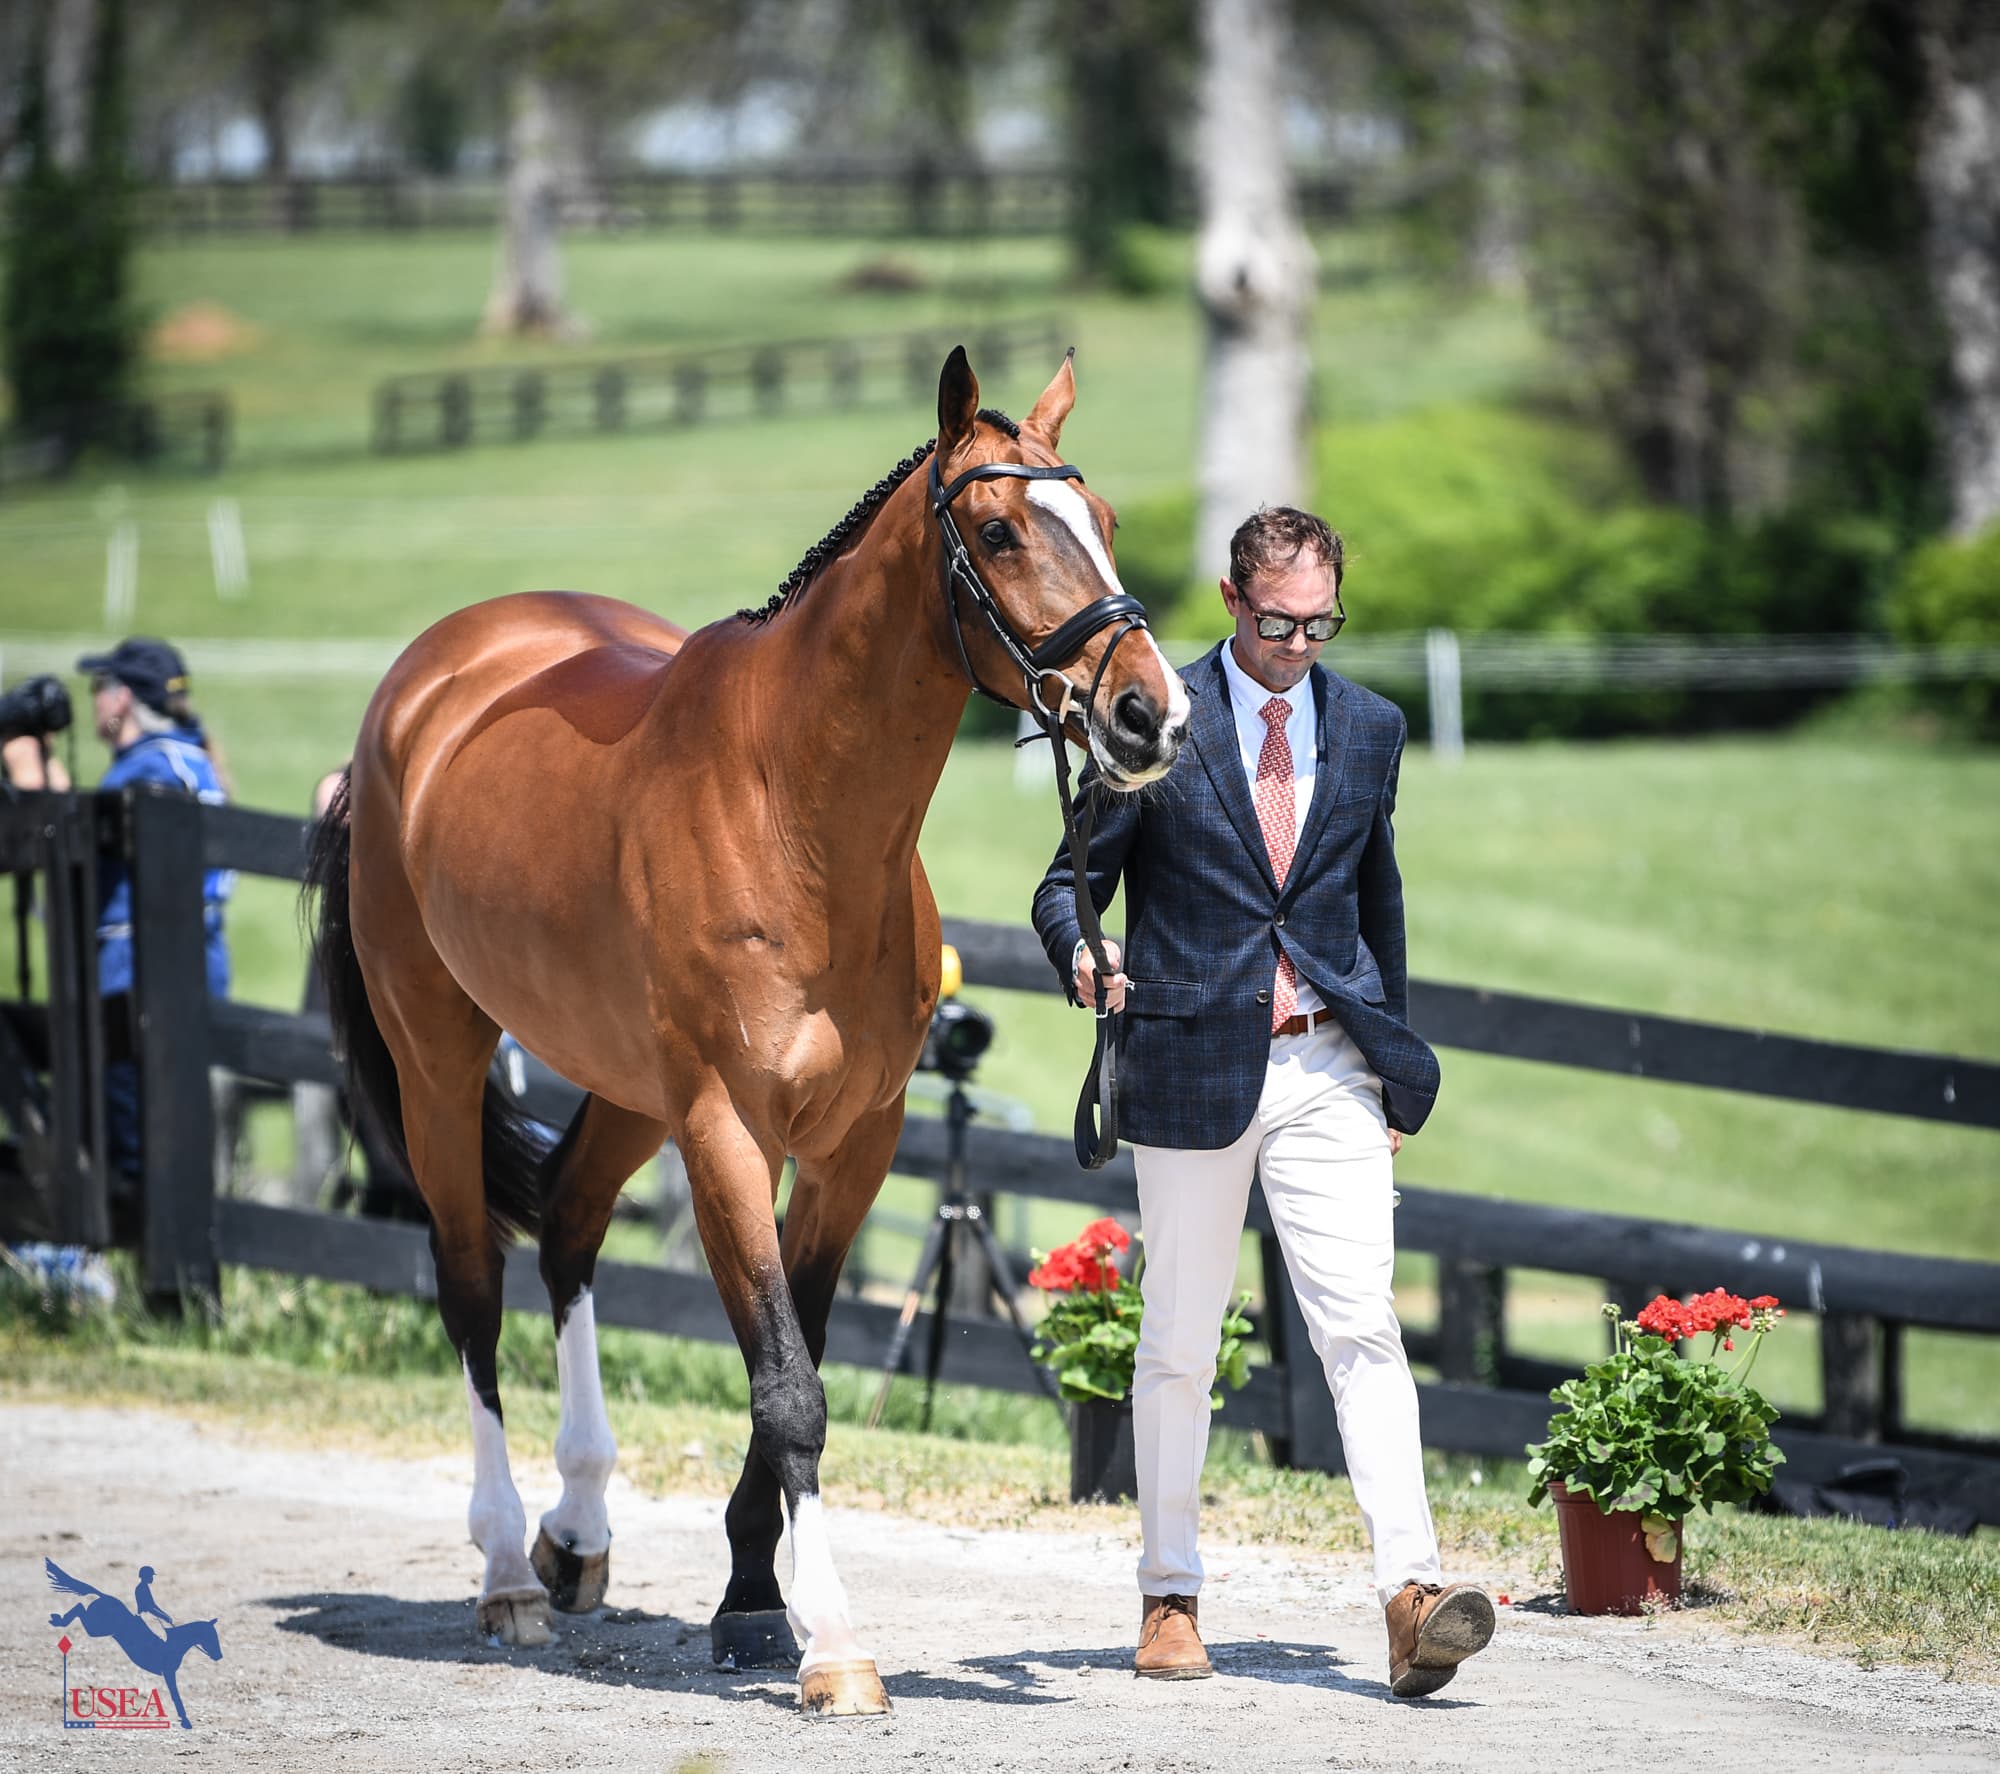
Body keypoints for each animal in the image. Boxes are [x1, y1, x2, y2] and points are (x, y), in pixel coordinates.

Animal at [47, 1560, 222, 1730]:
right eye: (210, 1637)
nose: (219, 1656)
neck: (175, 1643)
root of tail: (104, 1596)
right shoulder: (168, 1672)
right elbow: (175, 1695)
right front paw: (185, 1721)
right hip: (97, 1629)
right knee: (79, 1608)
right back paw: (58, 1620)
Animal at [304, 348, 1189, 1715]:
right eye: (997, 530)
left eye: (1100, 520)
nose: (1151, 713)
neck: (794, 813)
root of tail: (423, 685)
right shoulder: (727, 1129)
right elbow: (787, 1385)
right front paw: (833, 1644)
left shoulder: (853, 1141)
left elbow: (799, 1351)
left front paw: (752, 1598)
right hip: (438, 1062)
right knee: (469, 1282)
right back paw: (506, 1571)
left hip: (625, 1087)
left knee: (568, 1226)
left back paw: (578, 1532)